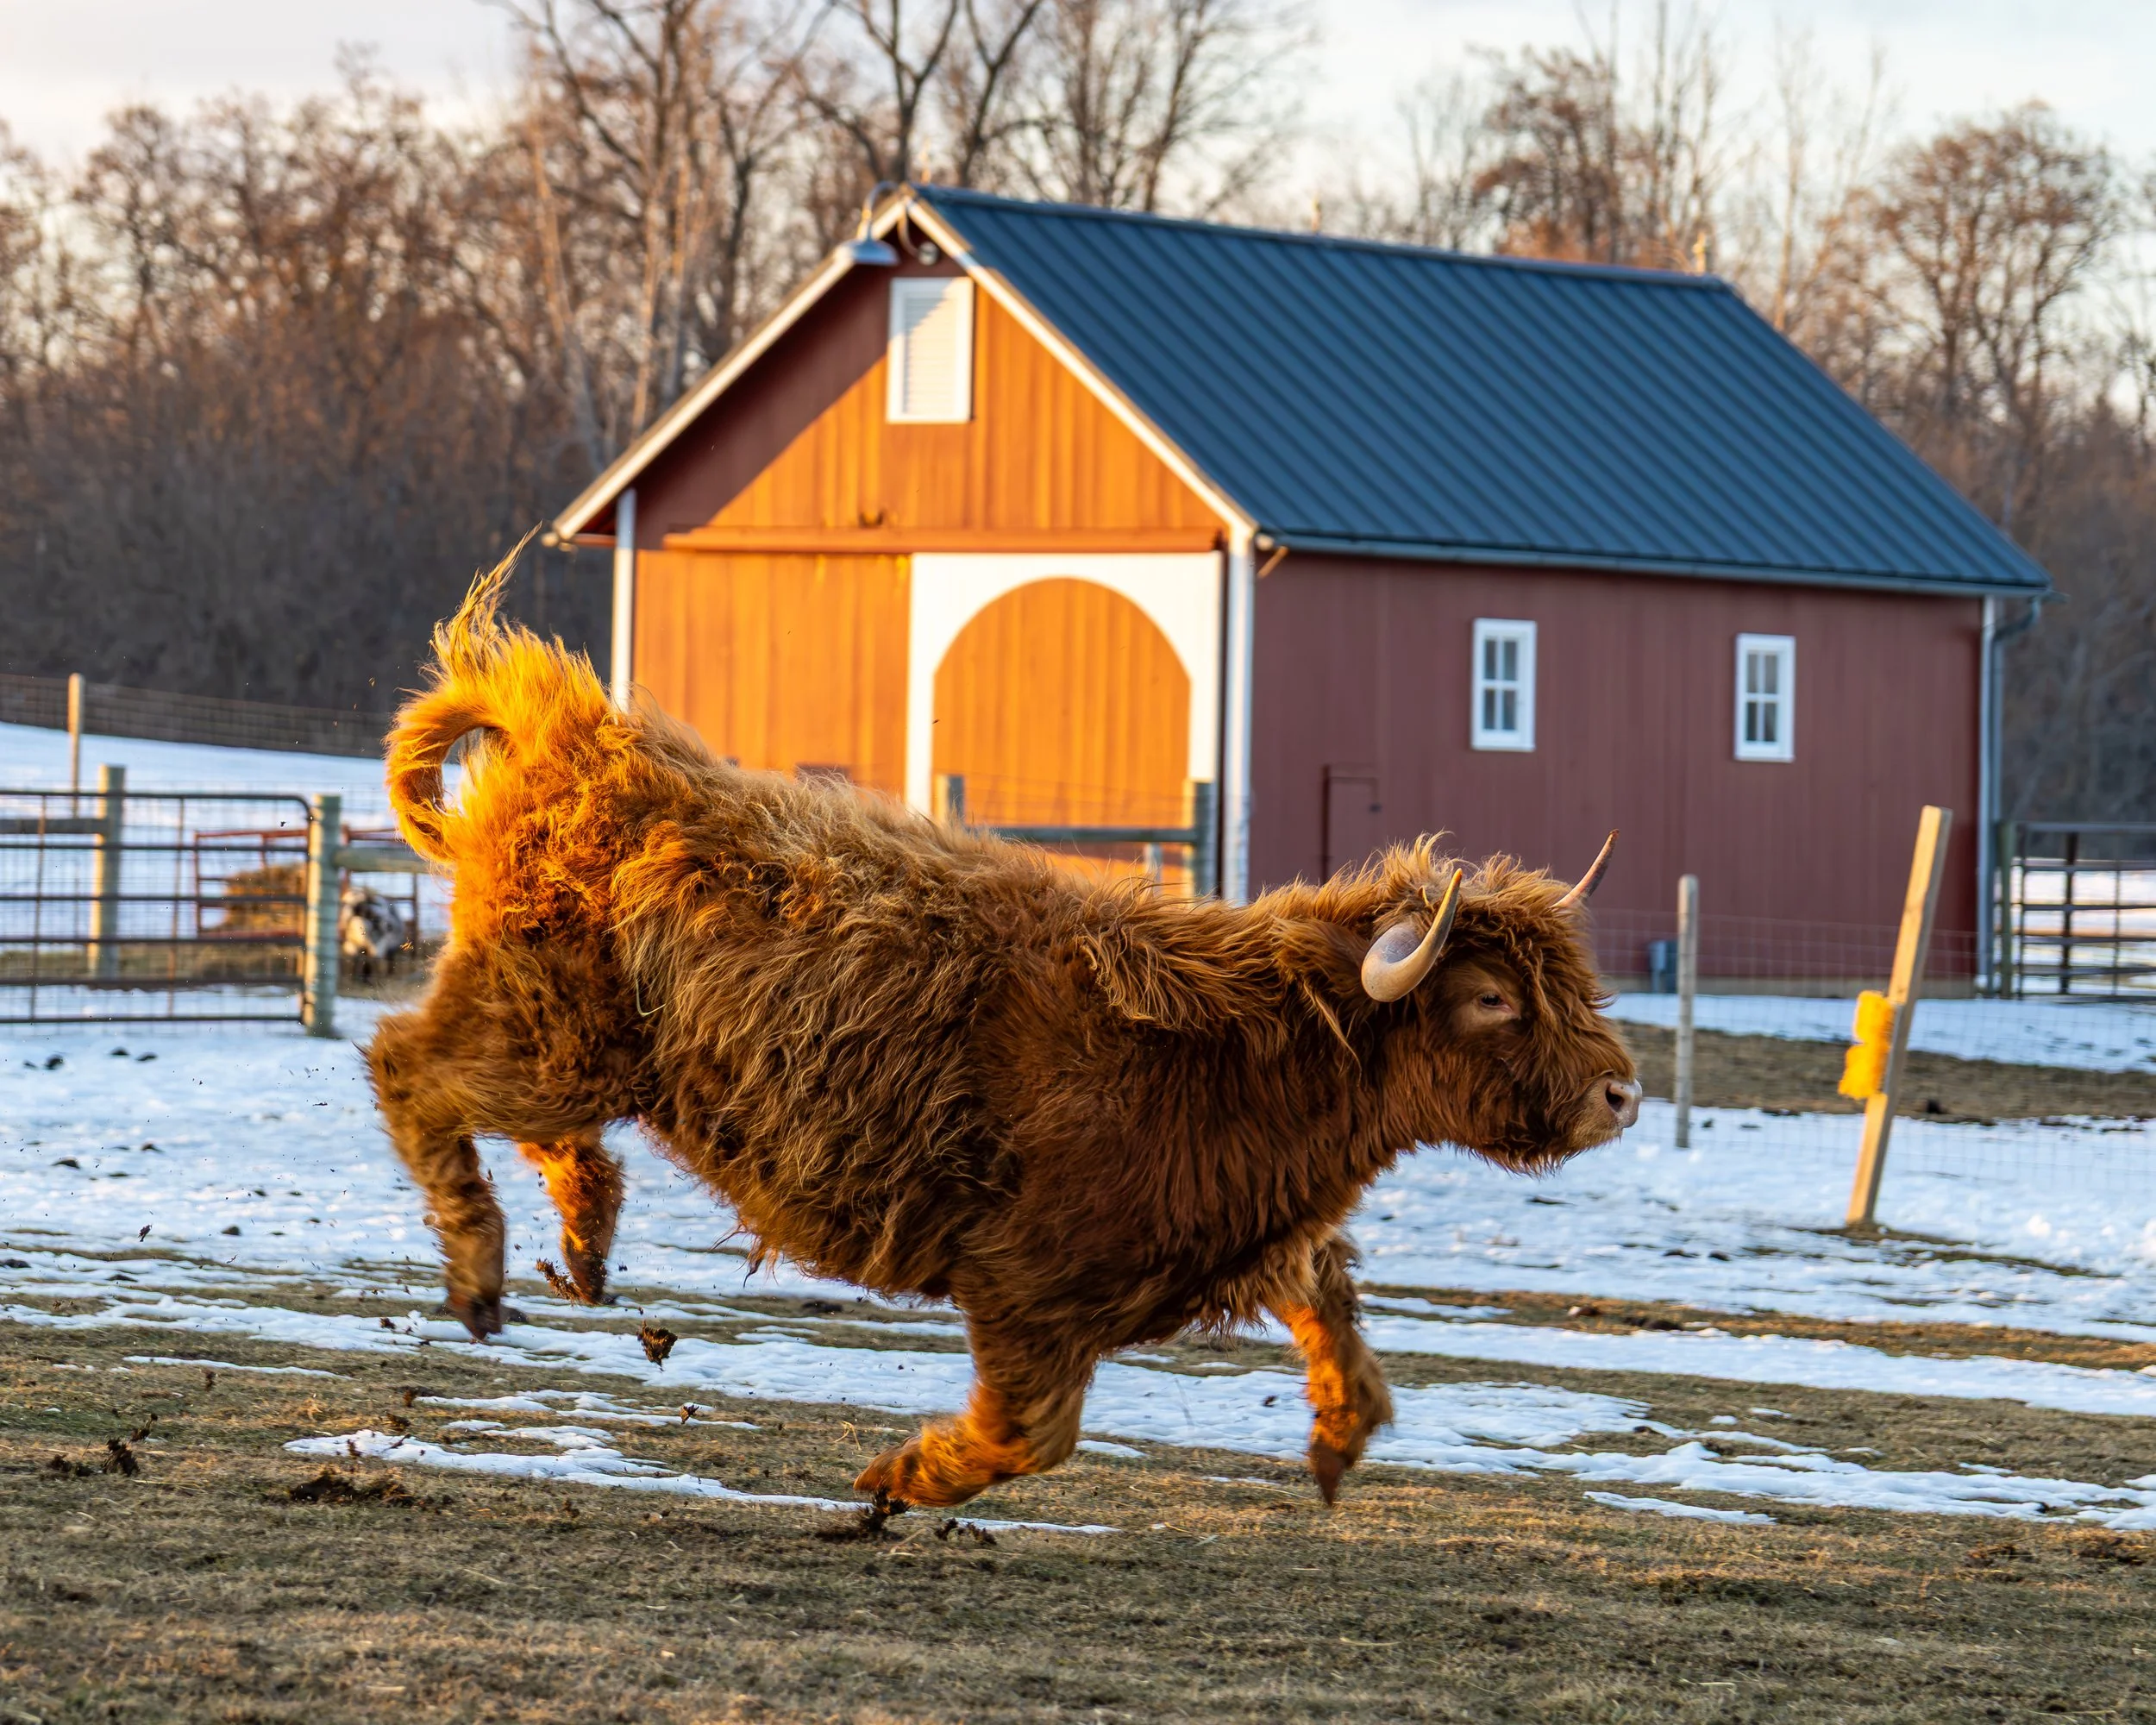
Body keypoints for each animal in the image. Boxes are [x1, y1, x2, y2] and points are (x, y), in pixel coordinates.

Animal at [368, 568, 1641, 1512]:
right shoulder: (1028, 1281)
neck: (1251, 1057)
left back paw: (584, 1246)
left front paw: (1332, 1448)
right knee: (412, 1070)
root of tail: (580, 742)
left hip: (581, 1047)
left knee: (519, 1116)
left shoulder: (1246, 1234)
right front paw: (897, 1479)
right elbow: (1036, 1433)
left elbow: (1347, 1341)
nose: (1622, 1094)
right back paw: (481, 1275)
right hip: (552, 1032)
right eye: (1493, 999)